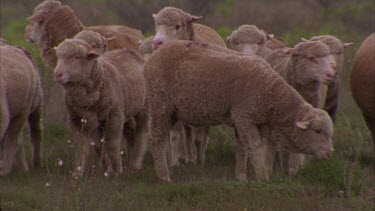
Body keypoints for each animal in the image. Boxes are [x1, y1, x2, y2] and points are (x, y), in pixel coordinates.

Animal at [54, 35, 148, 176]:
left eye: (77, 57)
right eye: (58, 57)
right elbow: (86, 147)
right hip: (123, 111)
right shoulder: (78, 121)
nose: (57, 74)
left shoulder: (115, 117)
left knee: (141, 132)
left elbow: (112, 145)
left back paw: (135, 164)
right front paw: (78, 173)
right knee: (129, 133)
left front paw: (117, 170)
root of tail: (128, 50)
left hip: (143, 108)